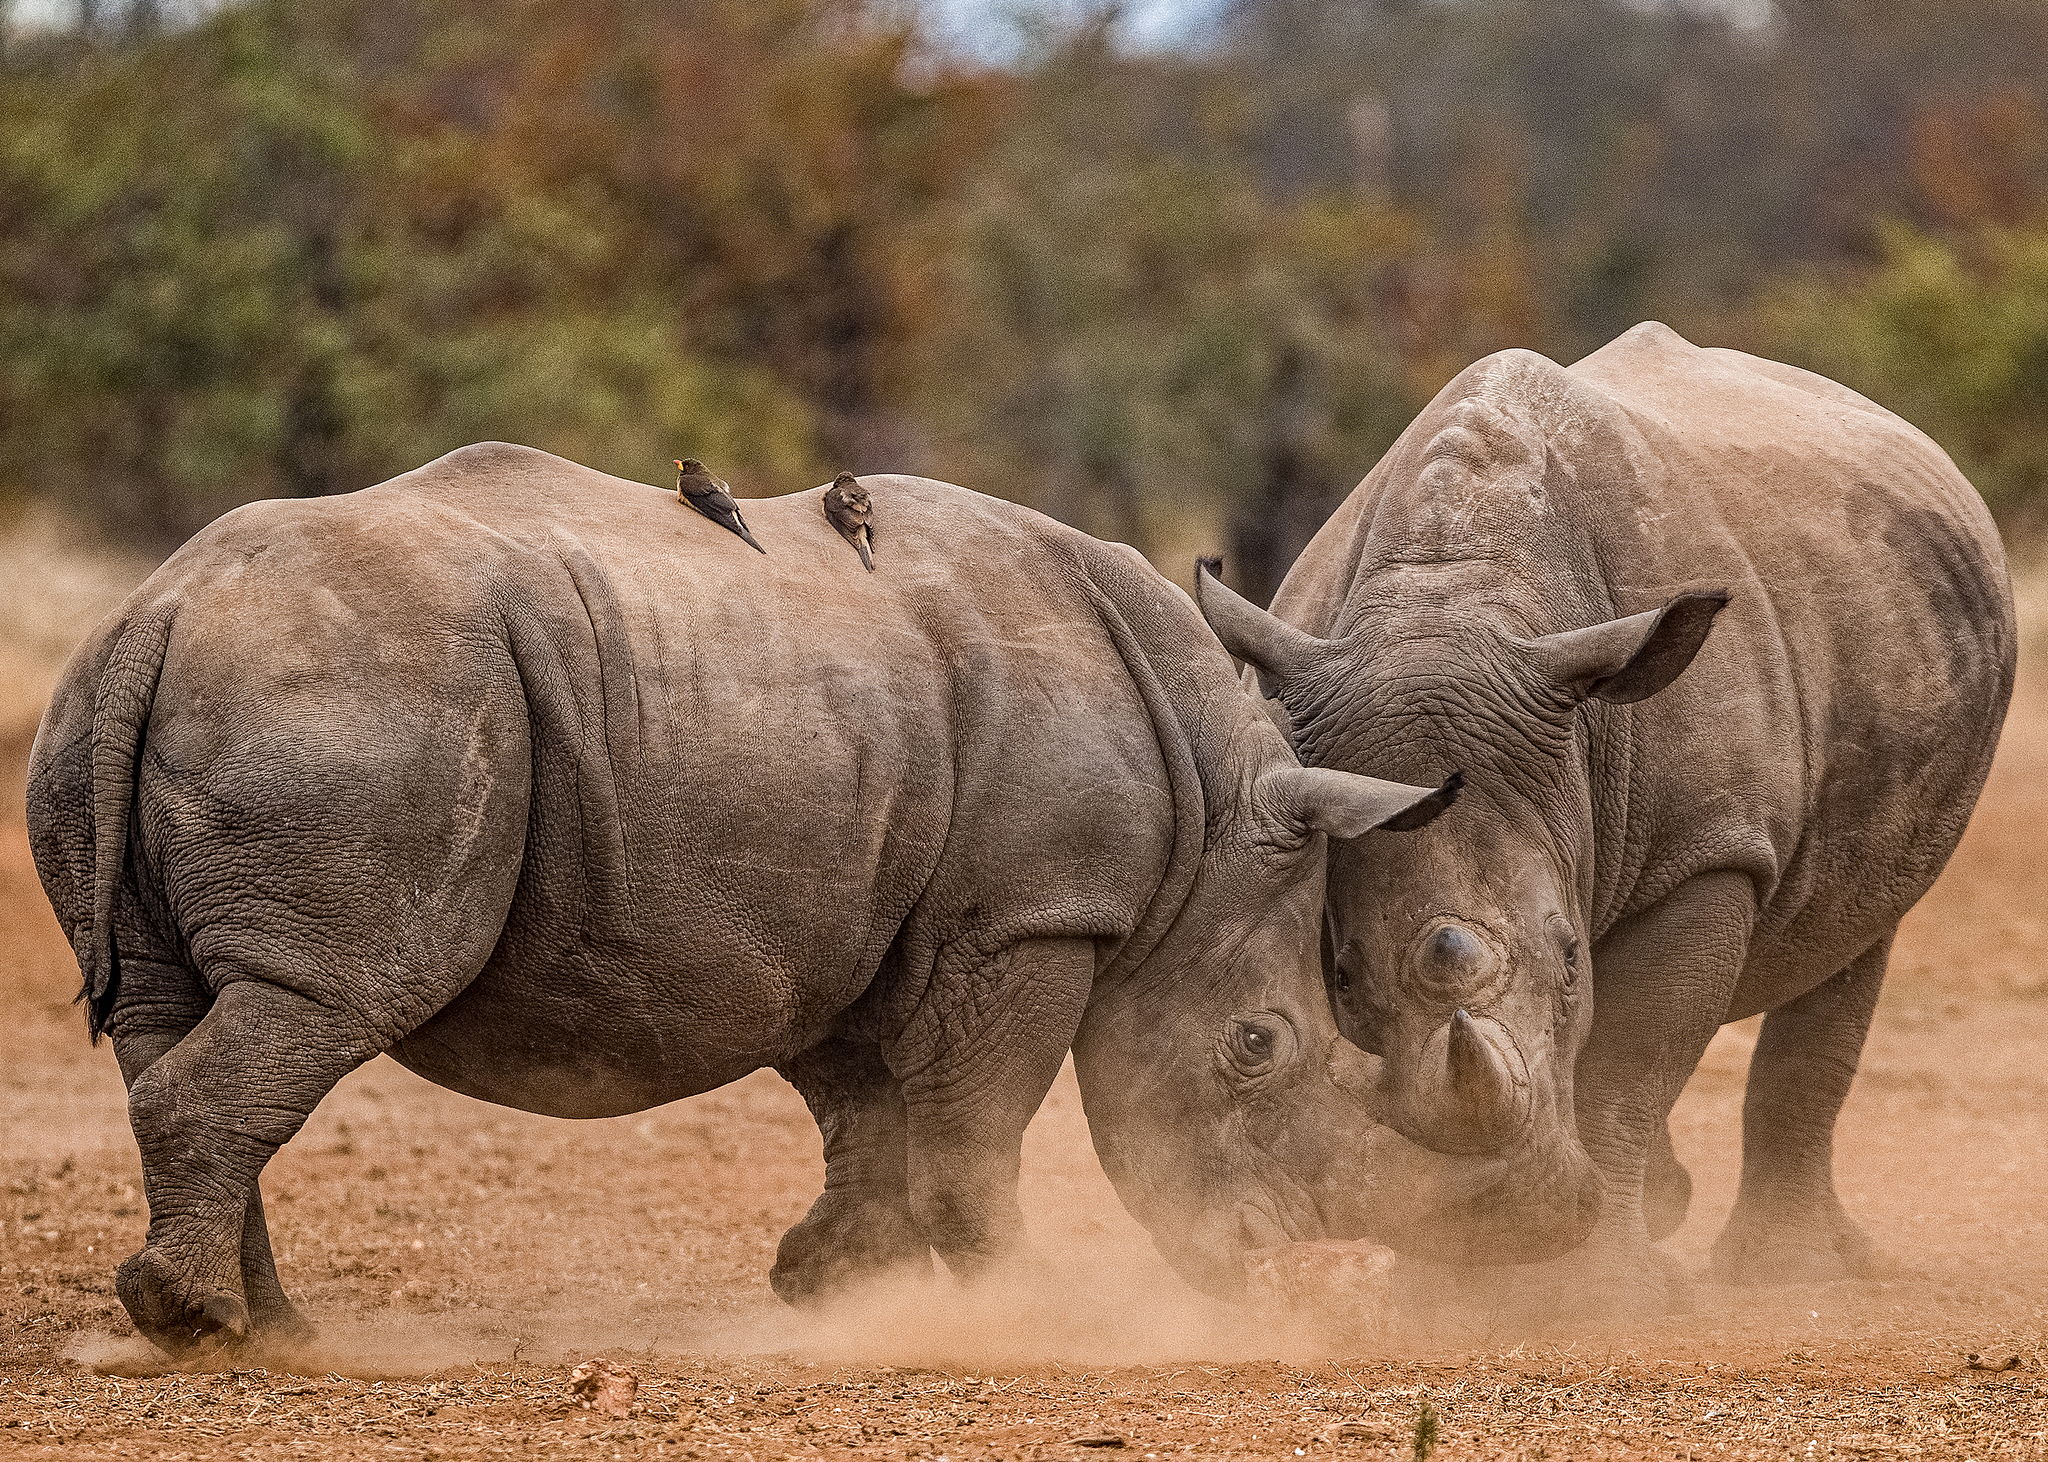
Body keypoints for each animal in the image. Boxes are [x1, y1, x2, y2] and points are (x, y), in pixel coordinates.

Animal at [25, 445, 1600, 1357]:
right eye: (1260, 1047)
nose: (1258, 1268)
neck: (1212, 817)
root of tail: (155, 611)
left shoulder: (860, 908)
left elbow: (869, 1108)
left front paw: (836, 1287)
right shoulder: (1036, 911)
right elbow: (968, 1122)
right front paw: (1017, 1307)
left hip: (159, 707)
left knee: (184, 1015)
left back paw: (264, 1332)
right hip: (364, 704)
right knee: (323, 995)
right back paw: (213, 1330)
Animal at [1198, 323, 2014, 1315]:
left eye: (1569, 957)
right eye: (1342, 977)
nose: (1504, 1217)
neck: (1452, 603)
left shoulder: (1709, 851)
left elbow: (1628, 1065)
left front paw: (1600, 1298)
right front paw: (1447, 1294)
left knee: (1859, 927)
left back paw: (1789, 1272)